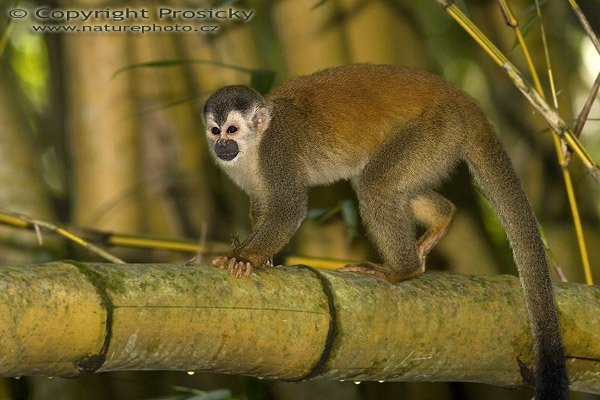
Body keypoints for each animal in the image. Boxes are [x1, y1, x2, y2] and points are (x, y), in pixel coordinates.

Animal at [202, 64, 568, 398]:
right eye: (215, 131)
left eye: (232, 129)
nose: (222, 146)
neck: (255, 146)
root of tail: (463, 102)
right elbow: (262, 208)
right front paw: (263, 260)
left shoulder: (277, 154)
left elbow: (287, 210)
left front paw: (243, 258)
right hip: (438, 145)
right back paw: (442, 219)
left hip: (433, 131)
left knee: (374, 184)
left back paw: (402, 269)